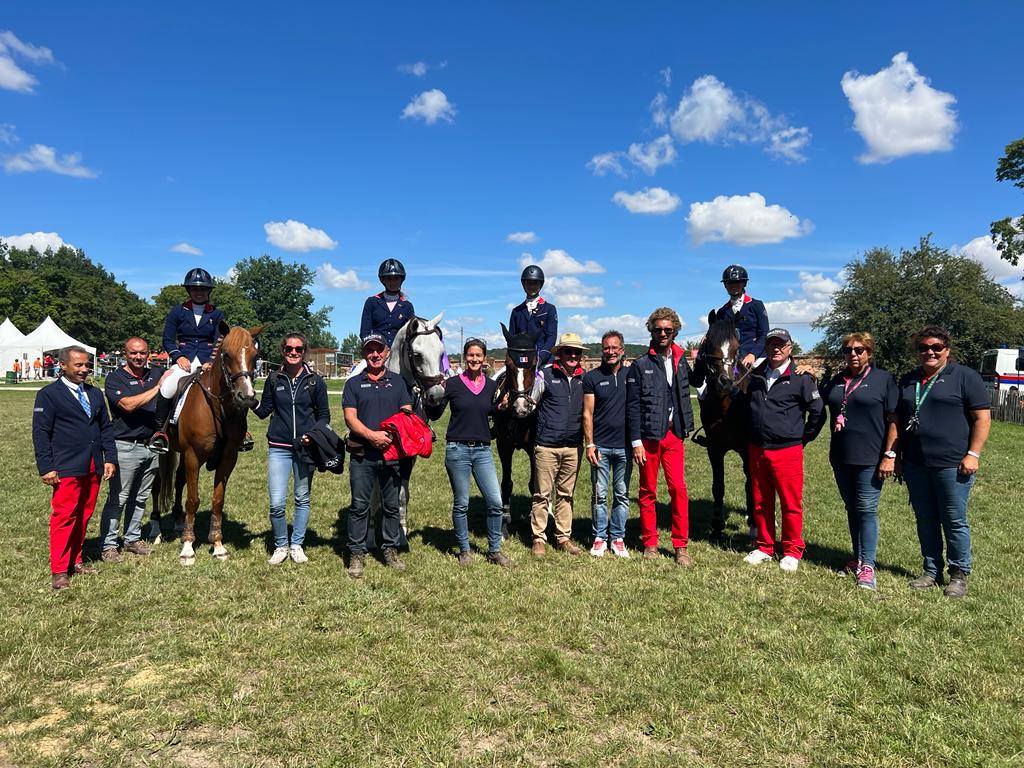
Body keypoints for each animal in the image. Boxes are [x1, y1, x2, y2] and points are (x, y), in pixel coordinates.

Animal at [153, 321, 264, 569]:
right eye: (227, 354)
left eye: (255, 355)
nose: (247, 397)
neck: (217, 407)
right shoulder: (194, 456)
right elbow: (193, 499)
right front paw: (187, 548)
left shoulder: (228, 458)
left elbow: (217, 500)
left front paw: (218, 545)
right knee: (157, 486)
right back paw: (156, 529)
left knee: (179, 481)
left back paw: (178, 520)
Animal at [489, 321, 544, 536]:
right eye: (507, 363)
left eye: (533, 364)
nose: (521, 407)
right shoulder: (504, 445)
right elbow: (506, 483)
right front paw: (504, 522)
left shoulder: (535, 447)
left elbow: (534, 484)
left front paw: (534, 519)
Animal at [692, 309, 757, 540]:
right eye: (709, 343)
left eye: (737, 346)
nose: (725, 382)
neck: (726, 405)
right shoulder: (714, 448)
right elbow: (718, 486)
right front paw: (717, 527)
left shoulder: (747, 450)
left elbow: (751, 484)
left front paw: (754, 524)